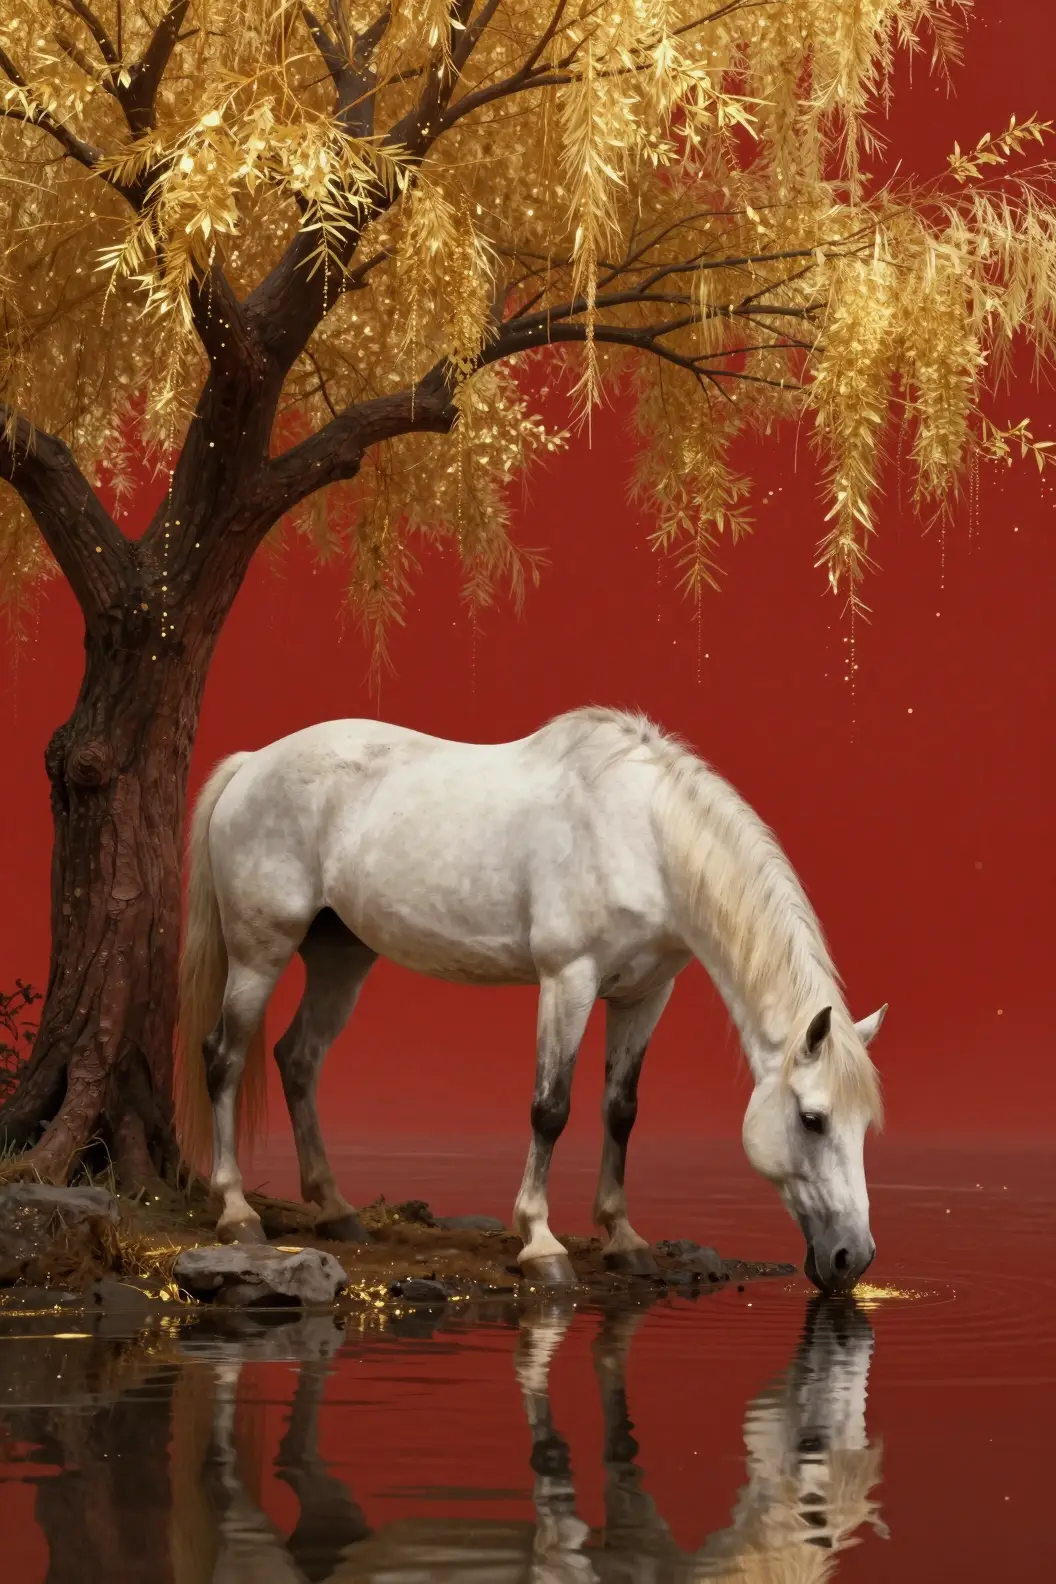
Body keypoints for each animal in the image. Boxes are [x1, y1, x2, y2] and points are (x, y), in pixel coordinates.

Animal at [177, 706, 886, 1294]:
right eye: (813, 1119)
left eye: (864, 1128)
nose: (852, 1259)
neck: (645, 839)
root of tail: (251, 765)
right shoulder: (568, 980)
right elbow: (551, 1109)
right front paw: (541, 1245)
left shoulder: (645, 994)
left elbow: (620, 1111)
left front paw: (624, 1239)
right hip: (260, 953)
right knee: (224, 1057)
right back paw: (237, 1212)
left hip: (340, 958)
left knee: (298, 1059)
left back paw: (335, 1209)